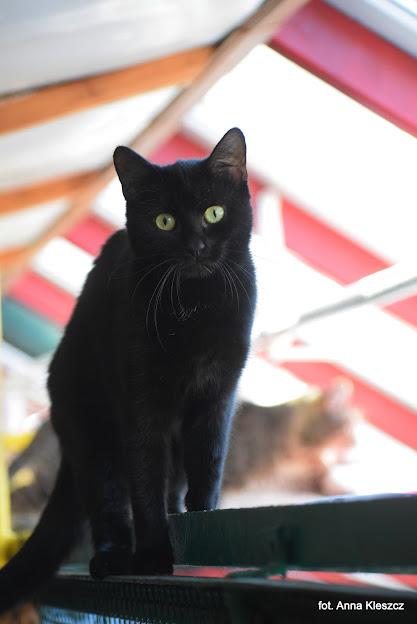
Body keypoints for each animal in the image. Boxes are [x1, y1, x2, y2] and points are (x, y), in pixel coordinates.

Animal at [0, 128, 256, 613]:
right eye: (164, 222)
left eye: (213, 213)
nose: (196, 247)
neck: (193, 306)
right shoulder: (140, 402)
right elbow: (144, 484)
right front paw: (153, 554)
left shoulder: (218, 392)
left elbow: (210, 457)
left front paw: (204, 514)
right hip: (92, 430)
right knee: (108, 500)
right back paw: (113, 556)